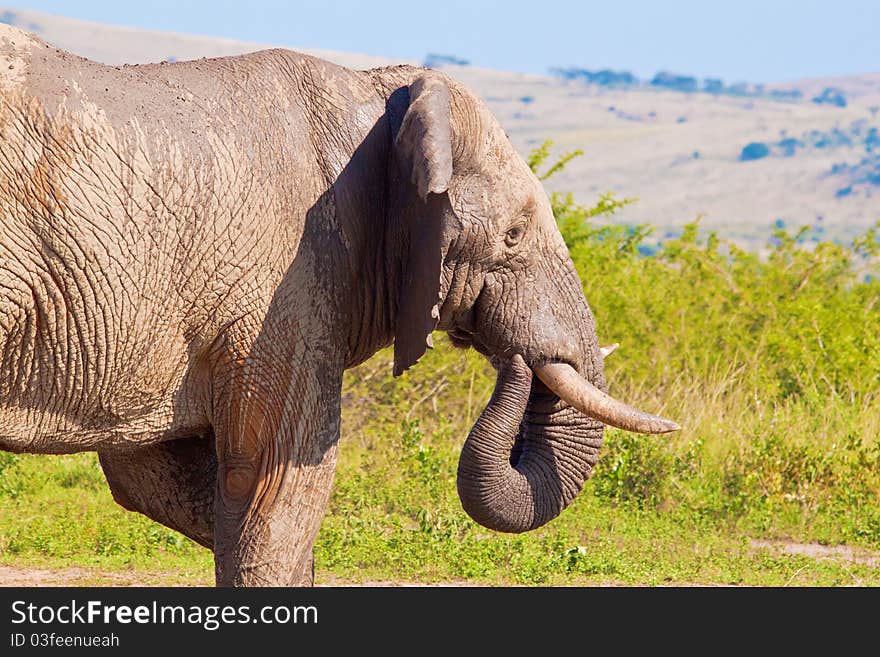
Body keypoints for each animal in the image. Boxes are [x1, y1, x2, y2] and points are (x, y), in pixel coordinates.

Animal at [0, 25, 680, 588]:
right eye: (512, 236)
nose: (513, 362)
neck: (377, 96)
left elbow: (161, 479)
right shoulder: (287, 288)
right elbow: (275, 486)